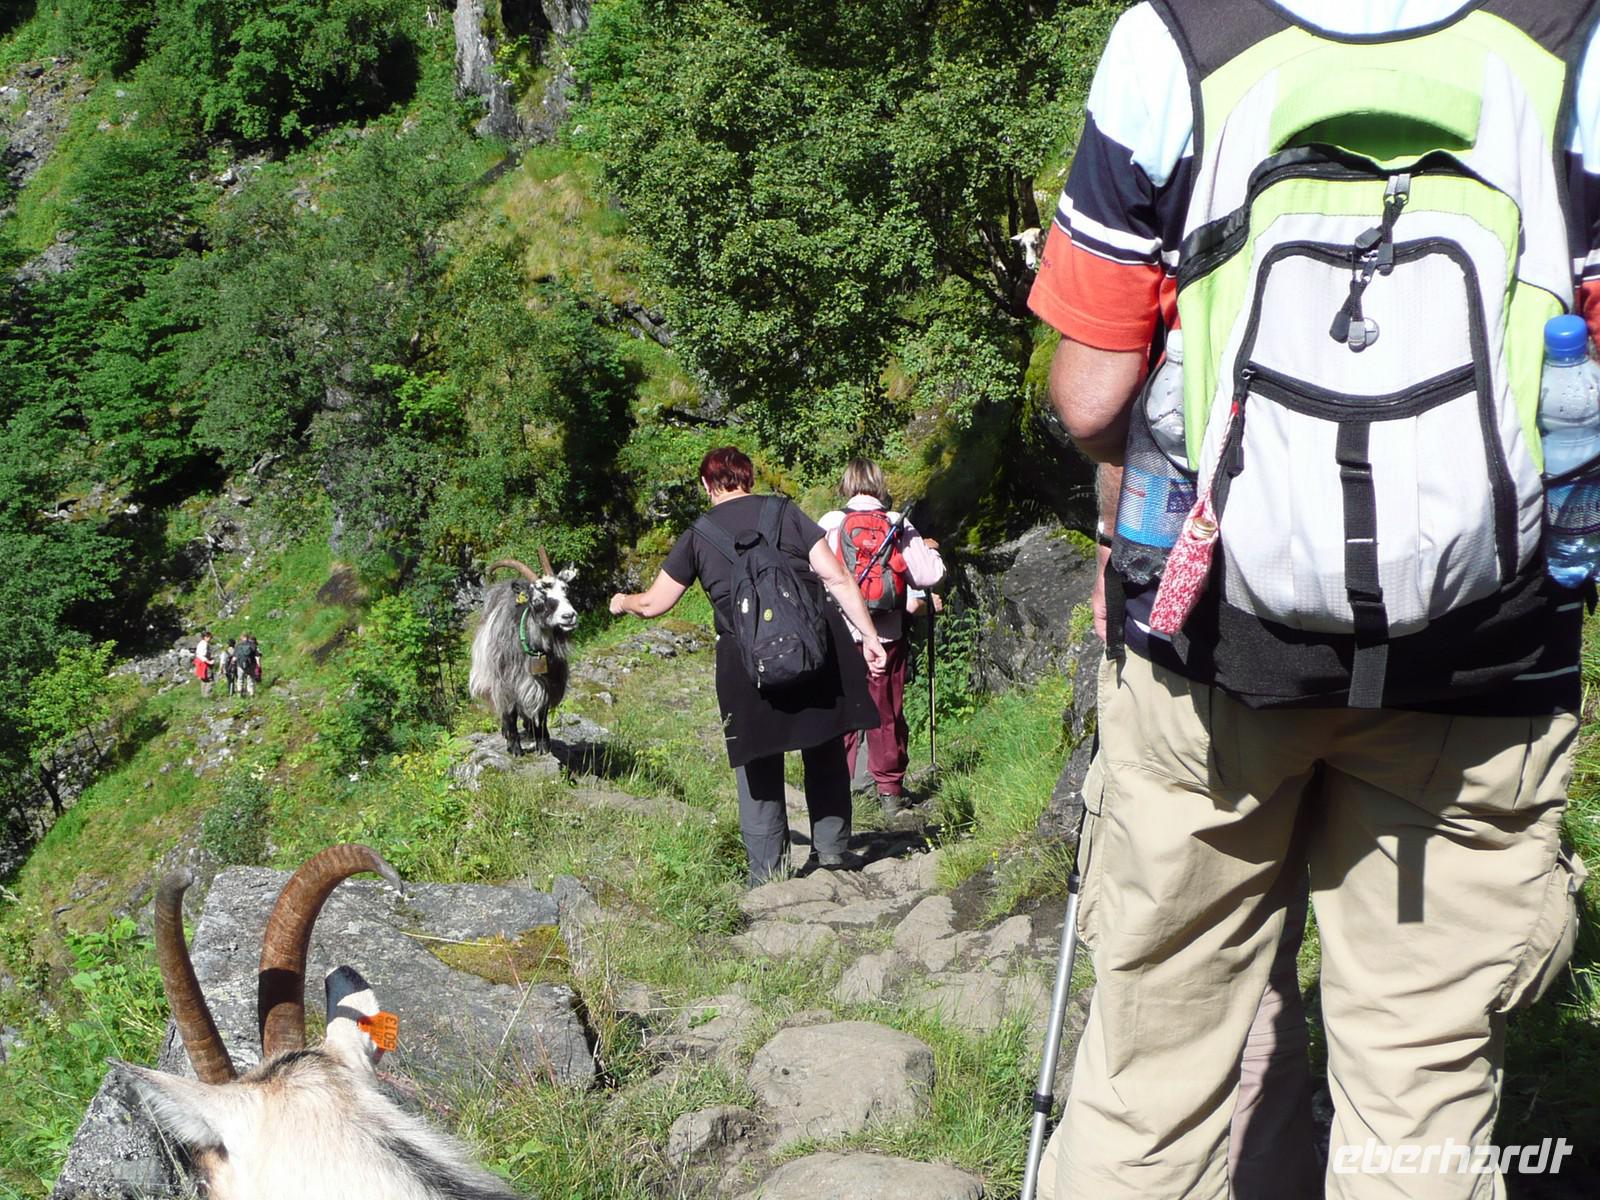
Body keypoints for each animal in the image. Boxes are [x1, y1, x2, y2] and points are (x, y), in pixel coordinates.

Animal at [468, 549, 578, 757]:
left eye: (566, 590)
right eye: (537, 599)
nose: (569, 616)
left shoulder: (547, 684)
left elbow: (542, 714)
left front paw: (543, 744)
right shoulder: (505, 684)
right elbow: (510, 714)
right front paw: (515, 748)